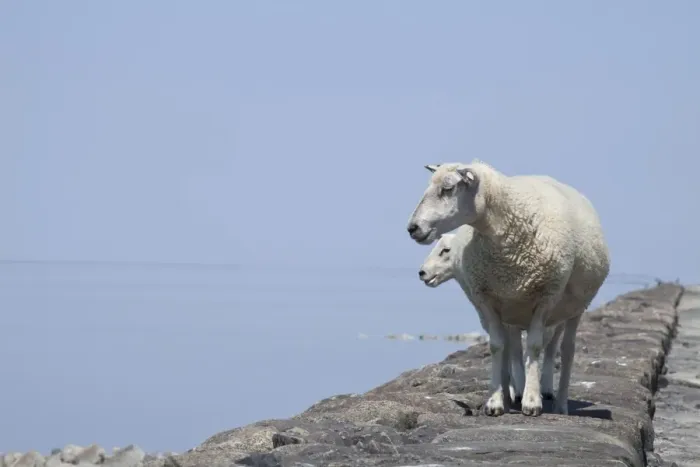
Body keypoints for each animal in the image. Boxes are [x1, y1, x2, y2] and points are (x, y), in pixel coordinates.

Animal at [418, 225, 564, 405]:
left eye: (445, 250)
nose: (422, 272)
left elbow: (518, 351)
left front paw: (520, 390)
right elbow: (506, 350)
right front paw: (507, 389)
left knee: (551, 348)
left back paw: (546, 389)